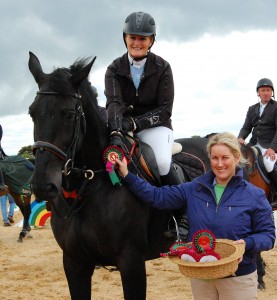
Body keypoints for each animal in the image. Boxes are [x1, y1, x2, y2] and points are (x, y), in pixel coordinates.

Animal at [28, 52, 209, 298]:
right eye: (32, 113)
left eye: (69, 114)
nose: (42, 186)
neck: (87, 188)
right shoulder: (74, 263)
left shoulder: (131, 262)